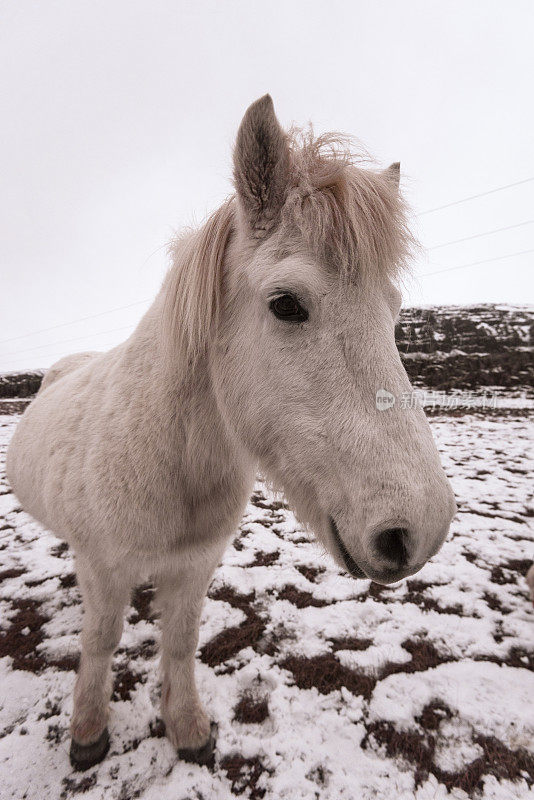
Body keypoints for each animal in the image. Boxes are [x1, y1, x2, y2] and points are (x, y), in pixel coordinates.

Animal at [6, 97, 456, 772]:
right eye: (287, 304)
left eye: (394, 310)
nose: (420, 531)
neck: (167, 461)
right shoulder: (105, 565)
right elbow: (101, 639)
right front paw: (87, 732)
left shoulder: (194, 565)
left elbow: (180, 638)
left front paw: (188, 727)